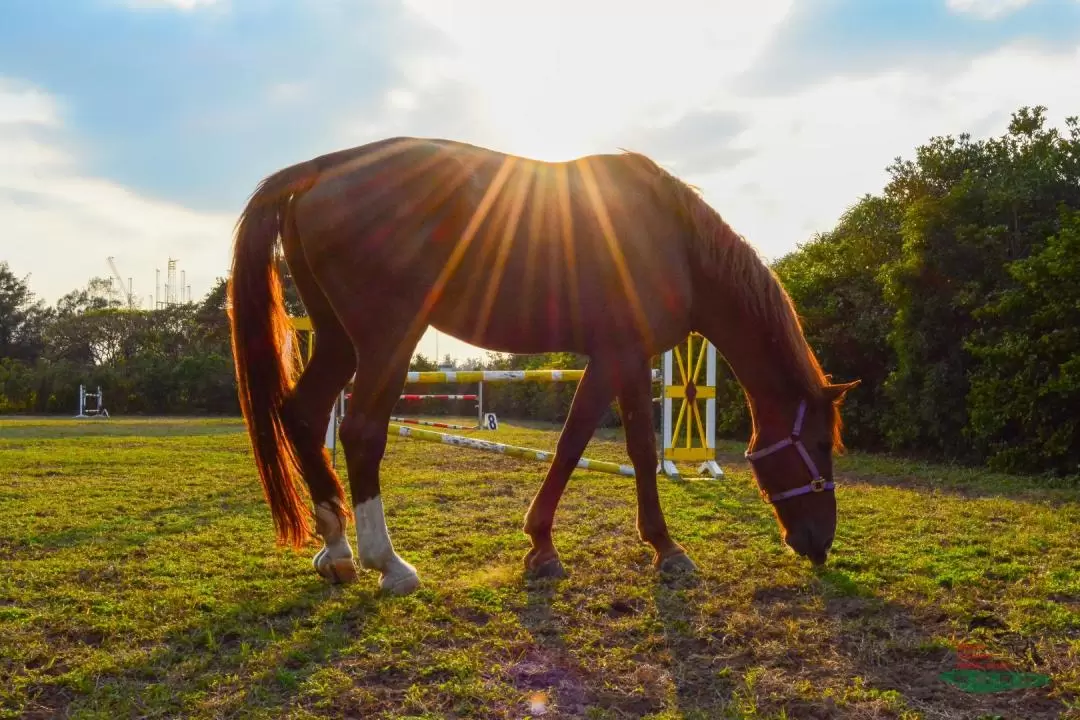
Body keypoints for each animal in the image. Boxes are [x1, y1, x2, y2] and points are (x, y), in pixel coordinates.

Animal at [230, 138, 859, 595]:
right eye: (820, 445)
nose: (819, 543)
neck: (674, 241)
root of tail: (322, 168)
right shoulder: (619, 356)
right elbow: (604, 445)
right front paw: (651, 547)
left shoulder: (617, 359)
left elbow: (595, 444)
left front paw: (554, 546)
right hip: (387, 340)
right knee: (360, 430)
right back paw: (389, 564)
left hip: (339, 341)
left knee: (305, 415)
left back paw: (337, 552)